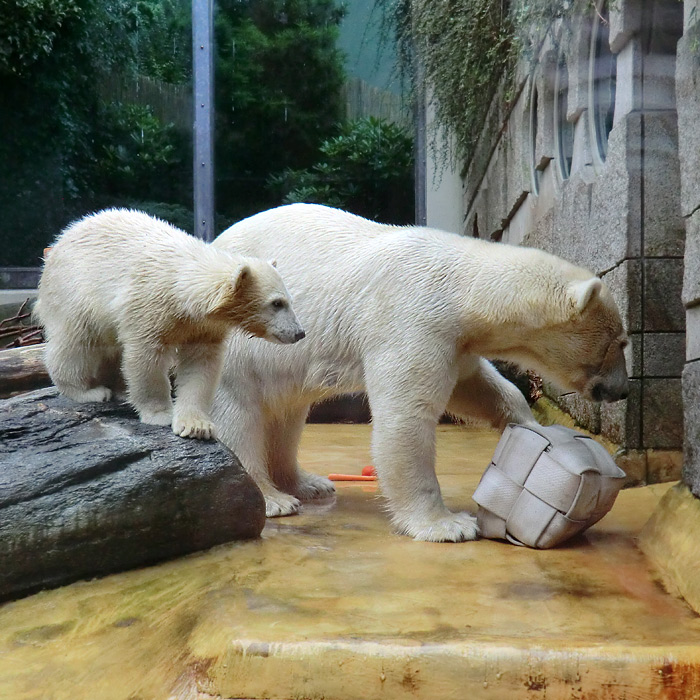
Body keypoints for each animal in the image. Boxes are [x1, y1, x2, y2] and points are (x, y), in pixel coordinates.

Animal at [213, 202, 628, 540]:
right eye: (621, 343)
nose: (621, 390)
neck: (462, 285)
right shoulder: (412, 317)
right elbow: (407, 415)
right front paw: (448, 525)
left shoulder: (456, 340)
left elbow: (474, 387)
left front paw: (529, 428)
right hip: (241, 342)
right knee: (239, 411)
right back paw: (273, 499)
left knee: (287, 415)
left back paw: (308, 484)